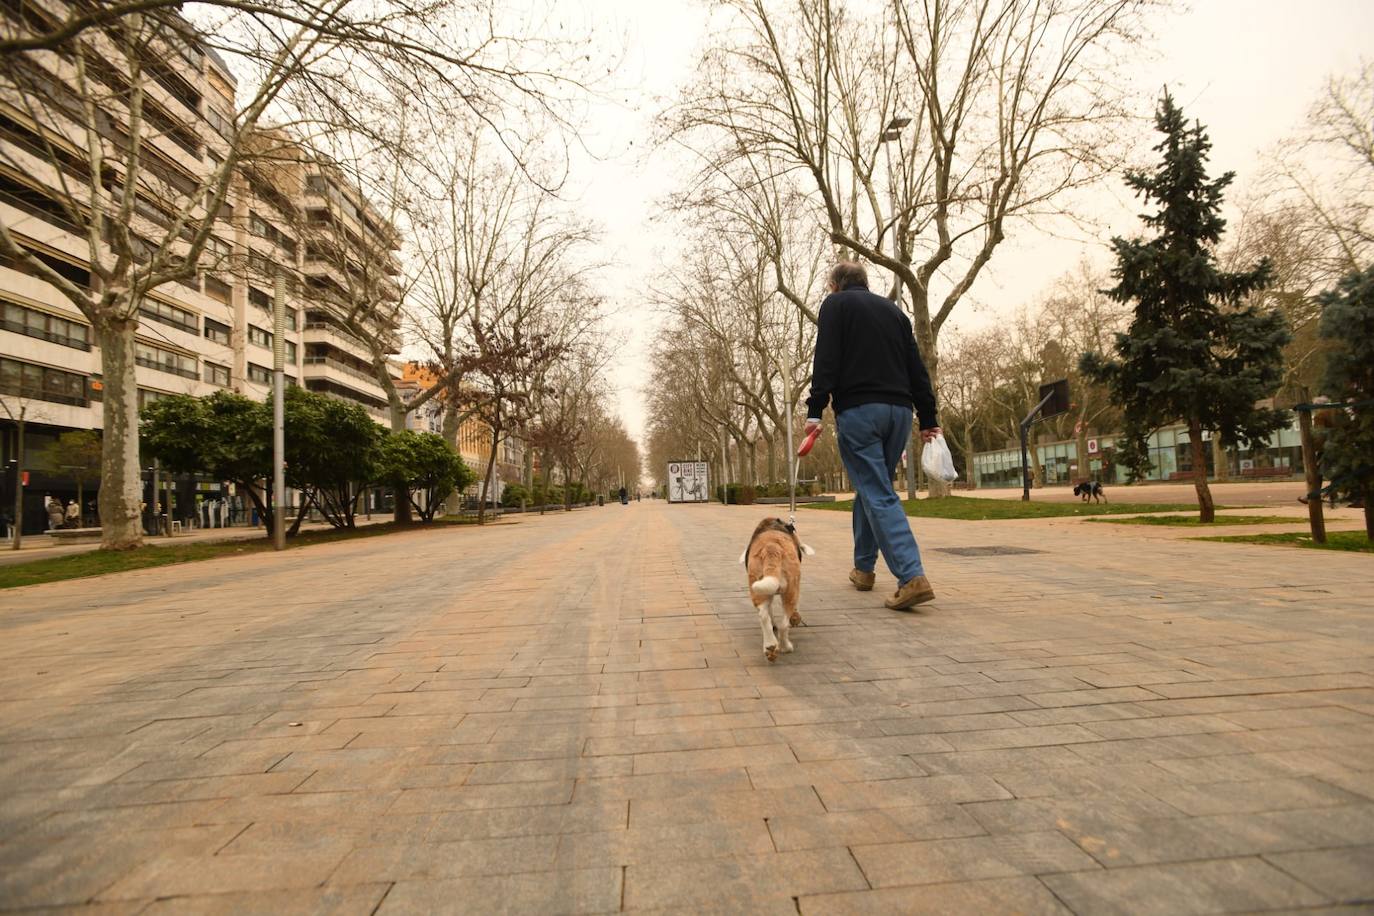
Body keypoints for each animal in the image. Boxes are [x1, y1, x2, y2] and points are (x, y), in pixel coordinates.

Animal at [741, 519, 813, 661]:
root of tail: (771, 547)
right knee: (784, 625)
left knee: (763, 615)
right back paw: (786, 647)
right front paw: (796, 618)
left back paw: (769, 646)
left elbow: (770, 612)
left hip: (757, 587)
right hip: (791, 590)